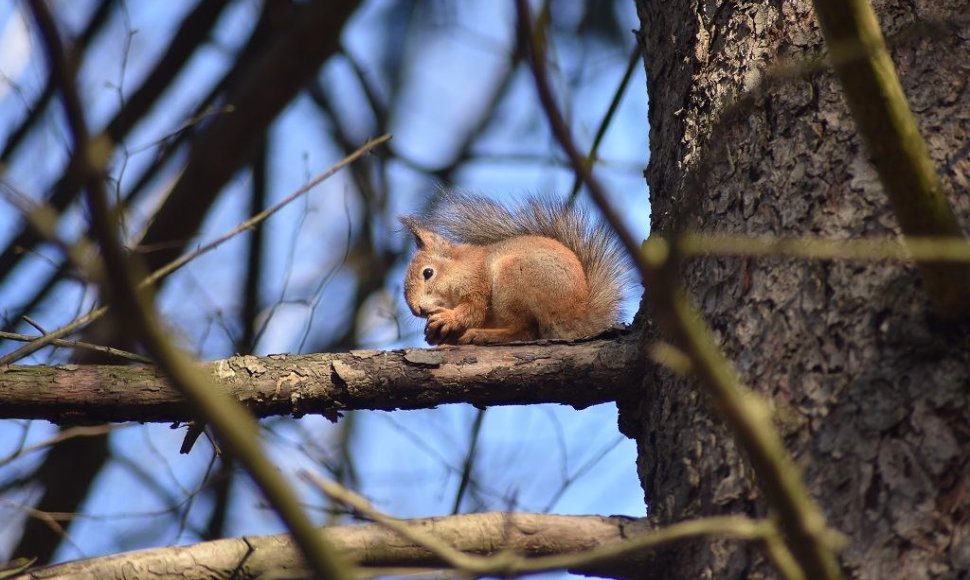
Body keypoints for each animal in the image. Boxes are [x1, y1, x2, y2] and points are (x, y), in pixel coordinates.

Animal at [398, 190, 620, 344]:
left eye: (428, 272)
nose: (416, 310)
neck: (460, 267)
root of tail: (574, 315)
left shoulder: (476, 282)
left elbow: (474, 311)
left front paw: (448, 318)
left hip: (512, 280)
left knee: (524, 330)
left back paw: (483, 335)